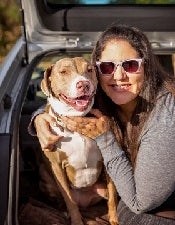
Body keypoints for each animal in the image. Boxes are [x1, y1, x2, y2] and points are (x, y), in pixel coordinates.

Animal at [39, 56, 118, 225]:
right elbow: (70, 201)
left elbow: (113, 196)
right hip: (45, 175)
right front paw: (75, 220)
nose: (84, 84)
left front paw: (114, 220)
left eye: (89, 70)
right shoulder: (57, 166)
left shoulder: (108, 161)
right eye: (63, 72)